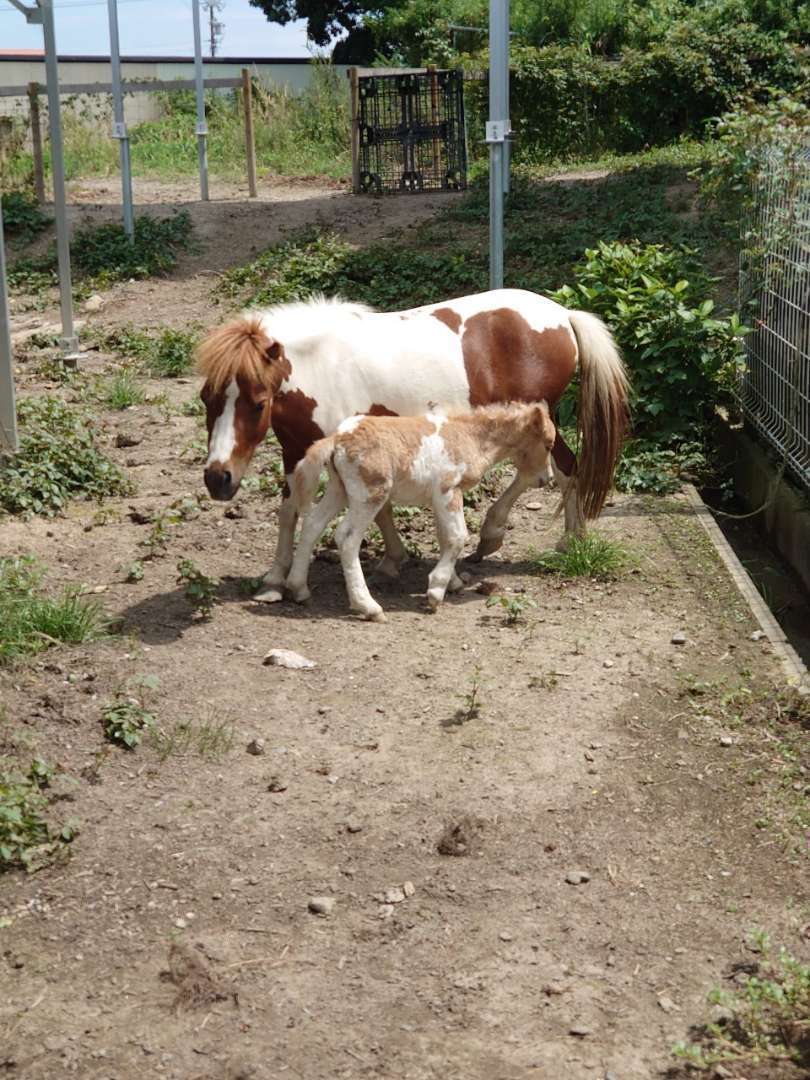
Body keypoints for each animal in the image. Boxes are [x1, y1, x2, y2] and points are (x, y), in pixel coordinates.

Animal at [285, 403, 557, 626]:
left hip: (338, 489)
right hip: (370, 495)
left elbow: (444, 536)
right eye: (548, 444)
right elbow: (458, 536)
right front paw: (436, 591)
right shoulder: (449, 490)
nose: (547, 479)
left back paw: (298, 589)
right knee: (347, 538)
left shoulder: (438, 498)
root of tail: (338, 438)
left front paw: (453, 582)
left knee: (312, 524)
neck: (471, 436)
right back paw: (369, 606)